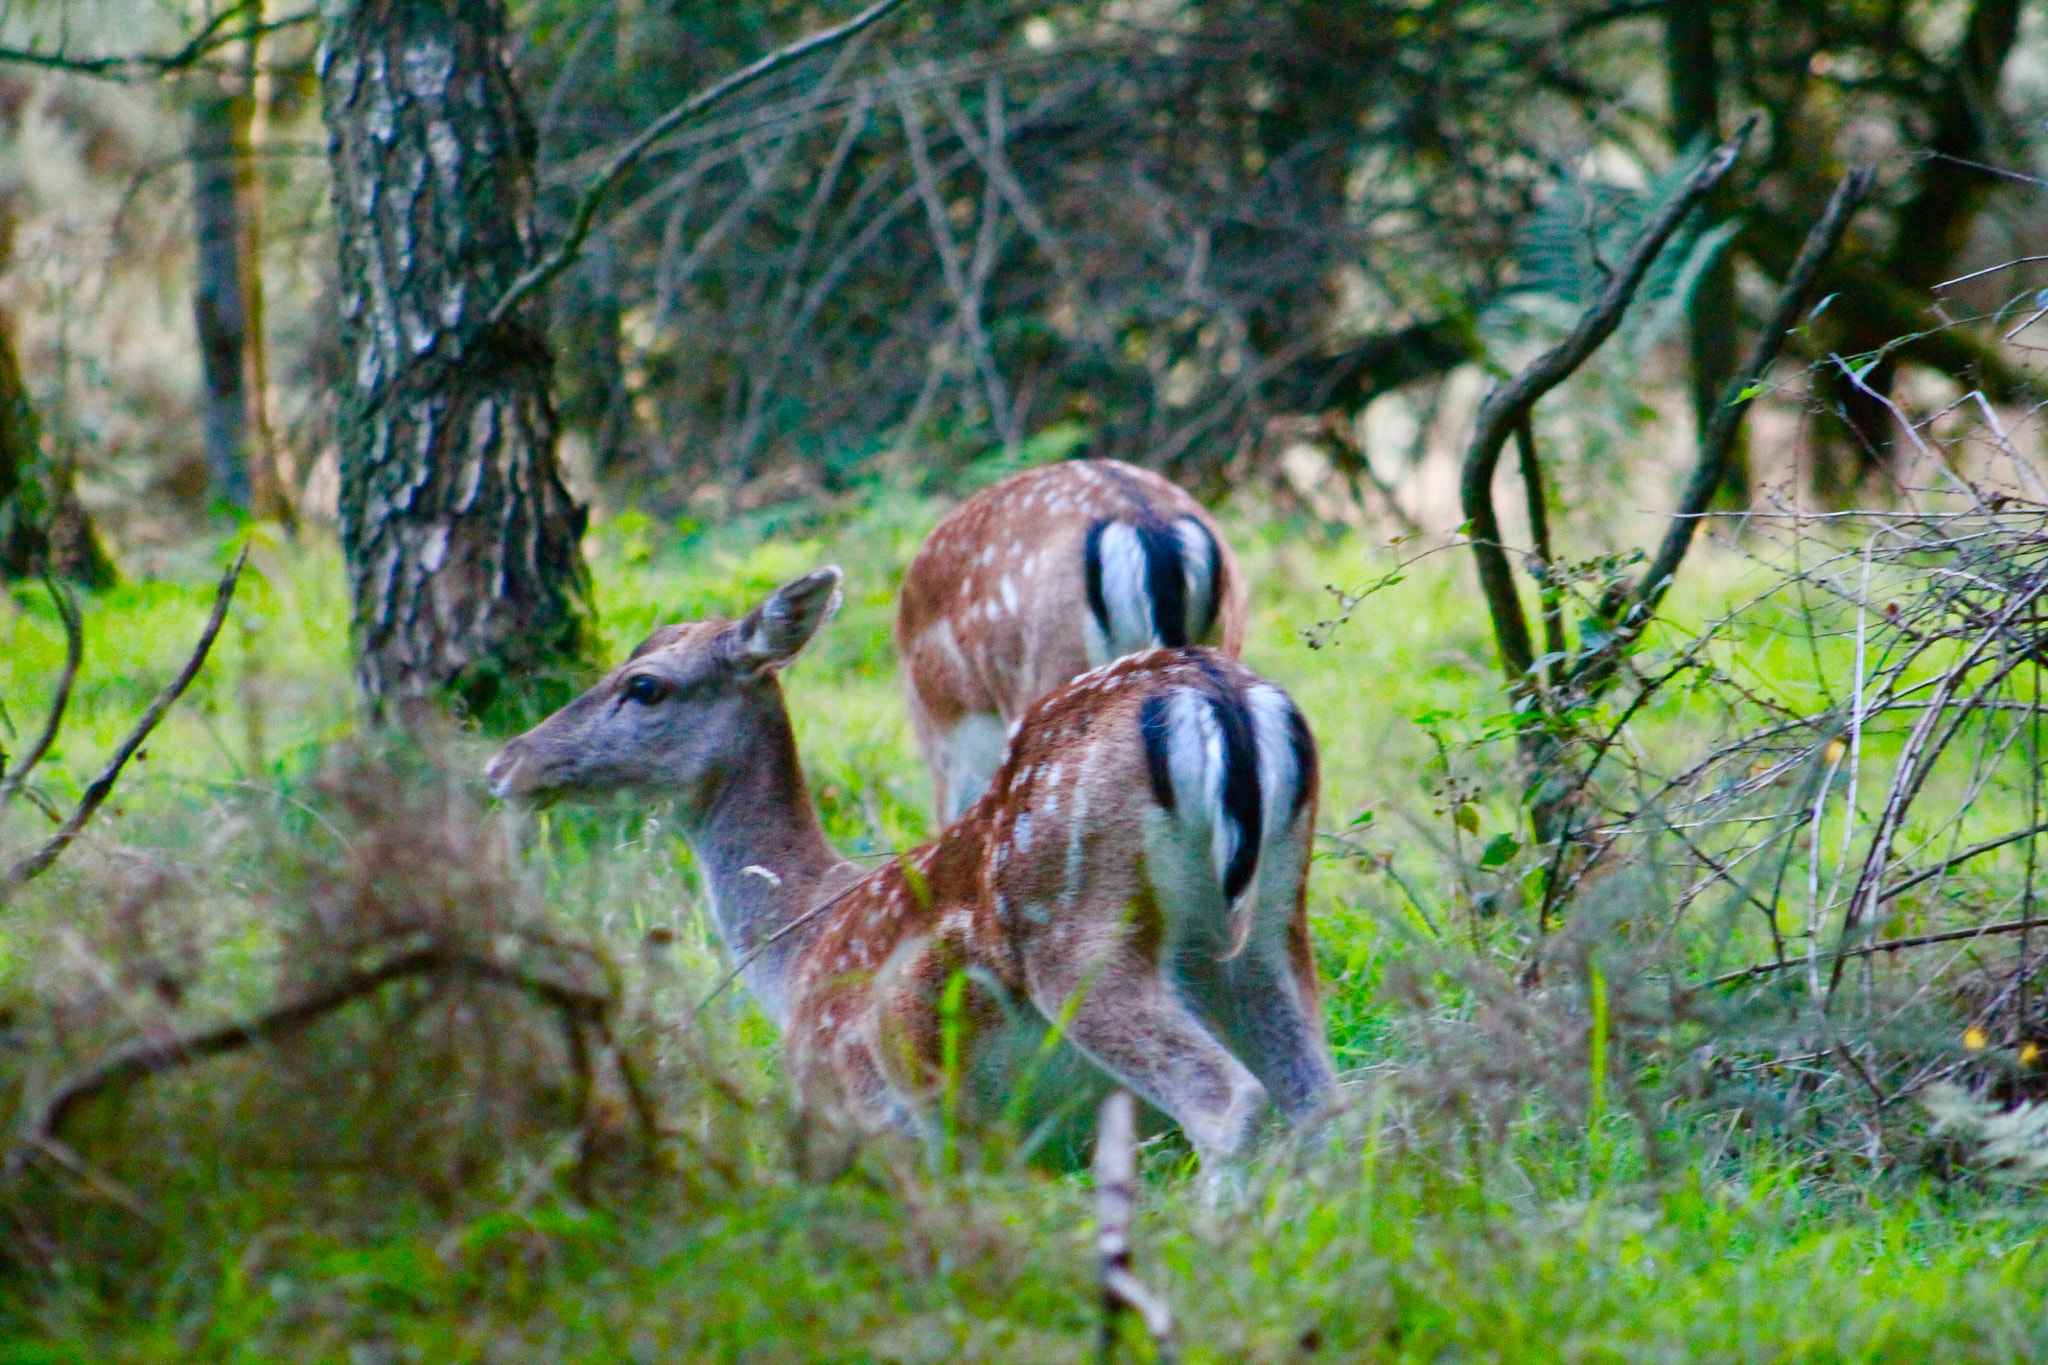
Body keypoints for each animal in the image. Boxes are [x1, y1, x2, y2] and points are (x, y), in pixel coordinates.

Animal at [486, 567, 1331, 1169]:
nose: (506, 761)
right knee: (1325, 1102)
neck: (799, 948)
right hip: (1270, 927)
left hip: (1078, 934)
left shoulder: (865, 1105)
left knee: (1229, 1101)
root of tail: (1219, 699)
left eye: (644, 685)